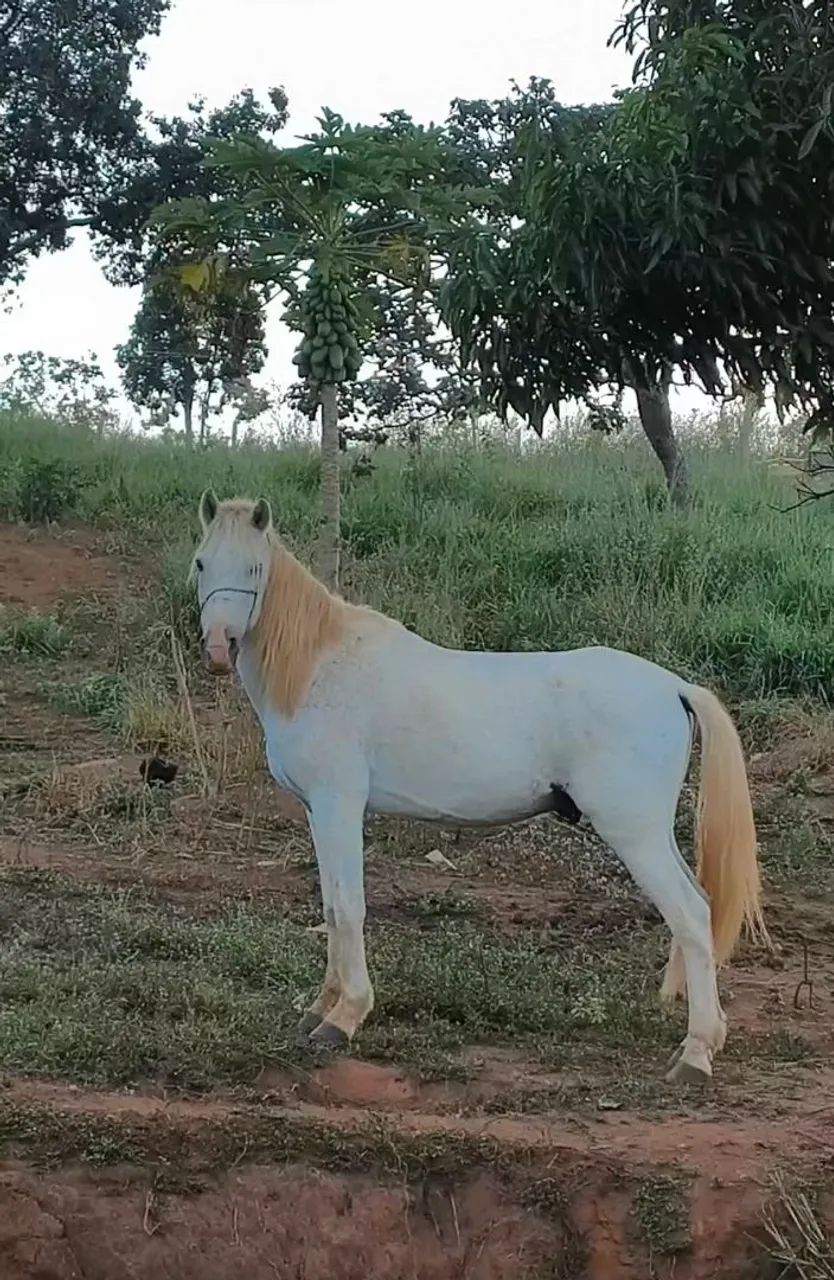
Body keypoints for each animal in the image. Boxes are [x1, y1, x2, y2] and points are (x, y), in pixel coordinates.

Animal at [192, 489, 767, 1084]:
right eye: (202, 563)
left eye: (254, 569)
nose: (218, 648)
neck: (320, 669)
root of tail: (675, 687)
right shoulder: (317, 812)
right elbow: (331, 906)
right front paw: (319, 1008)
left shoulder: (339, 807)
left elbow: (349, 909)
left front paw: (344, 1018)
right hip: (653, 836)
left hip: (634, 835)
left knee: (692, 917)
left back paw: (695, 1055)